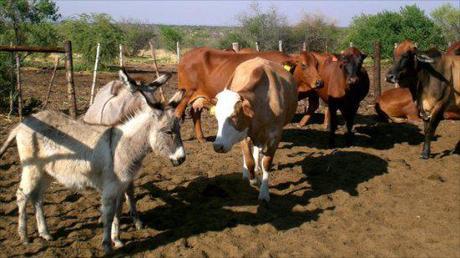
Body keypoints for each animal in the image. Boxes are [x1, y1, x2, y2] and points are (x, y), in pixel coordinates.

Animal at [176, 47, 324, 142]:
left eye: (317, 64)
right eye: (304, 65)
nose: (319, 82)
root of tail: (186, 56)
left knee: (195, 113)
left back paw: (201, 138)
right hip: (186, 93)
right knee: (178, 113)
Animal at [213, 58, 298, 202]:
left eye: (234, 116)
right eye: (217, 116)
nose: (217, 146)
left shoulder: (275, 135)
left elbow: (266, 163)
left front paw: (264, 192)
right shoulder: (244, 133)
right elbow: (249, 160)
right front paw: (253, 179)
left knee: (258, 150)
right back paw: (246, 173)